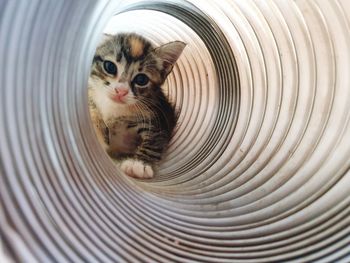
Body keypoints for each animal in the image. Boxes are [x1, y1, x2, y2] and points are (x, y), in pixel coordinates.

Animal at [88, 33, 186, 179]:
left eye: (141, 79)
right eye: (110, 67)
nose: (121, 91)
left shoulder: (158, 117)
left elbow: (154, 139)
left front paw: (139, 164)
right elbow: (93, 111)